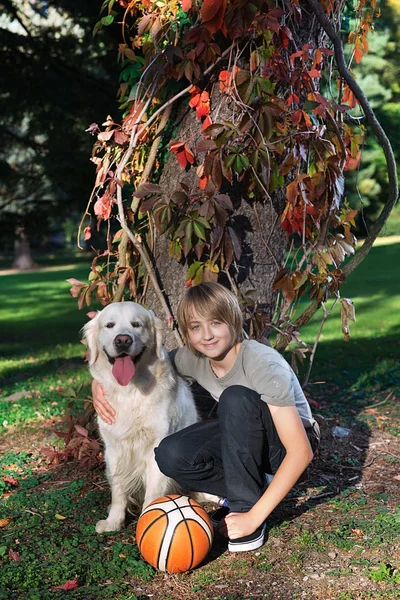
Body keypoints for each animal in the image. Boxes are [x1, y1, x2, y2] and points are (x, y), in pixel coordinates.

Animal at [83, 302, 200, 532]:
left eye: (136, 325)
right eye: (109, 325)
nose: (122, 340)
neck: (130, 390)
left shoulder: (156, 447)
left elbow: (153, 493)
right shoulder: (114, 448)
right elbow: (118, 490)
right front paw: (113, 521)